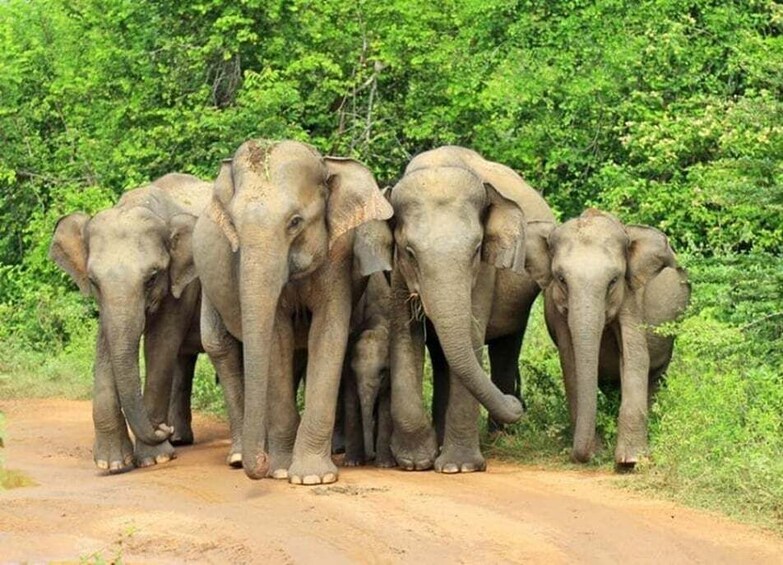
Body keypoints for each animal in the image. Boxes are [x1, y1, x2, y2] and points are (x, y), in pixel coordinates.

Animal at [49, 173, 212, 473]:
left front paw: (155, 457)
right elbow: (105, 346)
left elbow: (160, 344)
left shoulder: (182, 283)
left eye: (152, 277)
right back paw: (179, 439)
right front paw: (112, 463)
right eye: (93, 281)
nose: (162, 429)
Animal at [342, 271, 394, 468]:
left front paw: (385, 465)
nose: (370, 456)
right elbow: (350, 403)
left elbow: (387, 406)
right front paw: (352, 463)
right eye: (353, 371)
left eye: (383, 372)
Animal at [388, 145, 555, 473]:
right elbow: (405, 336)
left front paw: (459, 467)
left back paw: (499, 437)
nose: (516, 403)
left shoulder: (485, 273)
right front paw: (416, 462)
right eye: (410, 252)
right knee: (444, 359)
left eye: (477, 249)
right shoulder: (398, 273)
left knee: (506, 348)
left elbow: (472, 336)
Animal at [525, 209, 691, 467]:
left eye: (614, 280)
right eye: (561, 279)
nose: (585, 456)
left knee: (655, 376)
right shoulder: (556, 308)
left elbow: (636, 357)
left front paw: (630, 461)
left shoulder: (631, 296)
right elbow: (569, 363)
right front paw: (598, 451)